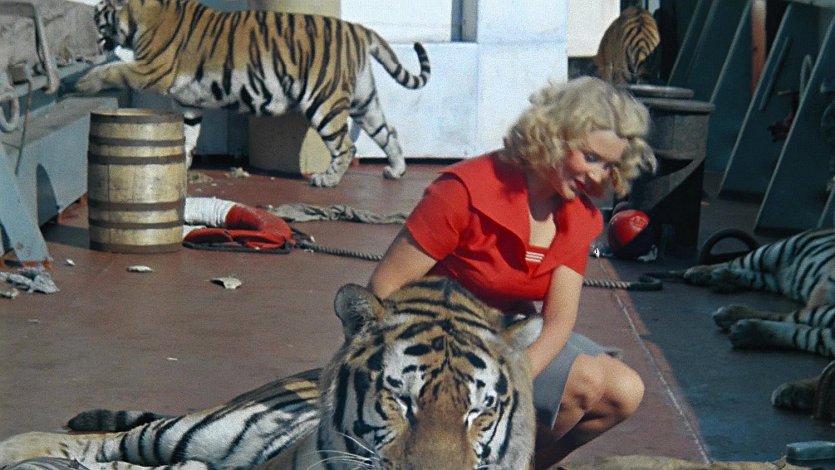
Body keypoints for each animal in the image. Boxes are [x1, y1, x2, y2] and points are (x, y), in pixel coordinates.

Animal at [77, 0, 431, 188]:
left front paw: (81, 83)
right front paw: (183, 165)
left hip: (325, 102)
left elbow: (112, 70)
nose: (90, 28)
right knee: (388, 132)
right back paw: (396, 170)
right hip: (362, 100)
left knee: (346, 145)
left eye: (99, 14)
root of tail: (359, 29)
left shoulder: (150, 68)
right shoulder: (187, 102)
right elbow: (188, 136)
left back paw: (326, 180)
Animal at [679, 227, 835, 413]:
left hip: (781, 280)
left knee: (802, 329)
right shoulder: (824, 291)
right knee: (737, 263)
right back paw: (703, 274)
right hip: (774, 252)